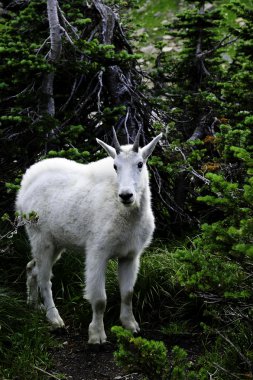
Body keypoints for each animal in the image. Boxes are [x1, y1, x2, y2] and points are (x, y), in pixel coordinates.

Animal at [15, 130, 162, 344]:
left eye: (140, 164)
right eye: (115, 166)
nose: (126, 195)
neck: (127, 214)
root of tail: (25, 183)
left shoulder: (130, 255)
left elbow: (127, 293)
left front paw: (130, 325)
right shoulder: (97, 252)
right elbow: (100, 300)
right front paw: (97, 335)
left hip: (57, 243)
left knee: (31, 267)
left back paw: (33, 304)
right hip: (41, 238)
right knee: (45, 279)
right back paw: (54, 318)